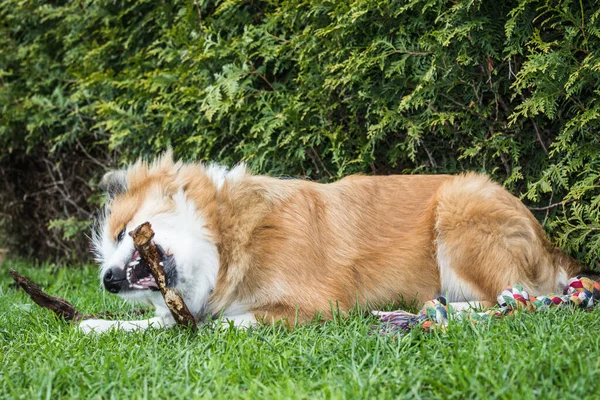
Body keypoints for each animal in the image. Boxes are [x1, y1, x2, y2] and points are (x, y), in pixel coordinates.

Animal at [79, 152, 584, 332]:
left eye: (123, 233)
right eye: (105, 254)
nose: (108, 280)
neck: (229, 236)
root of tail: (551, 249)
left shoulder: (319, 305)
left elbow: (224, 324)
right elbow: (162, 323)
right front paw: (99, 324)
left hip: (461, 202)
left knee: (516, 298)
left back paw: (442, 308)